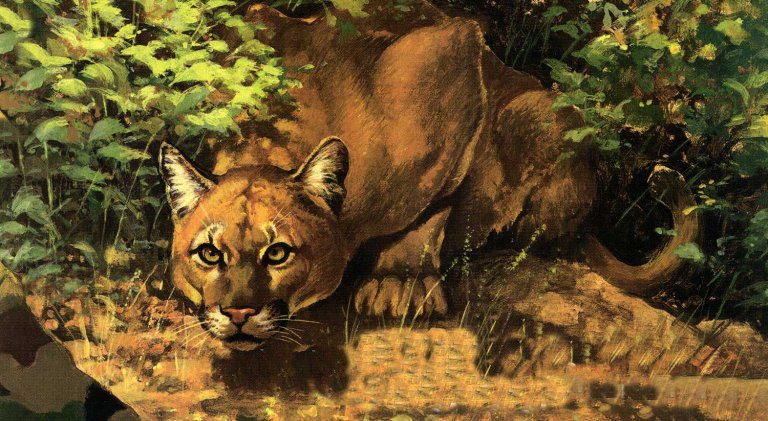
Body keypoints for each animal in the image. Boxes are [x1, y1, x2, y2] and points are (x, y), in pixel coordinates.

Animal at [159, 1, 698, 351]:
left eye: (278, 254)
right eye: (209, 254)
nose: (237, 312)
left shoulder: (447, 66)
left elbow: (437, 198)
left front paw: (400, 284)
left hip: (543, 116)